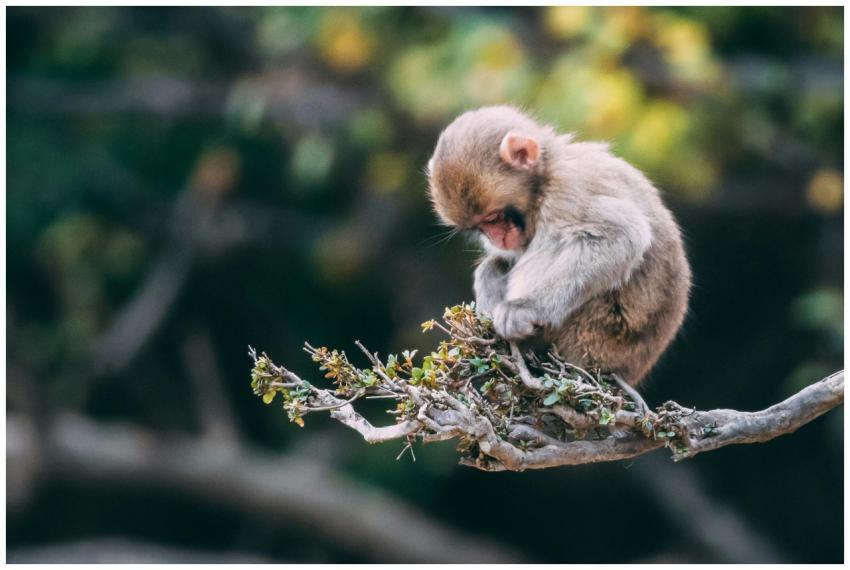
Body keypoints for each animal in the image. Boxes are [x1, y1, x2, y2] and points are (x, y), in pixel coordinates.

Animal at [426, 105, 691, 385]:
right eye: (480, 228)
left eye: (493, 218)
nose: (496, 238)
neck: (546, 175)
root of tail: (627, 371)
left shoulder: (568, 194)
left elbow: (621, 237)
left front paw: (525, 309)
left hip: (595, 336)